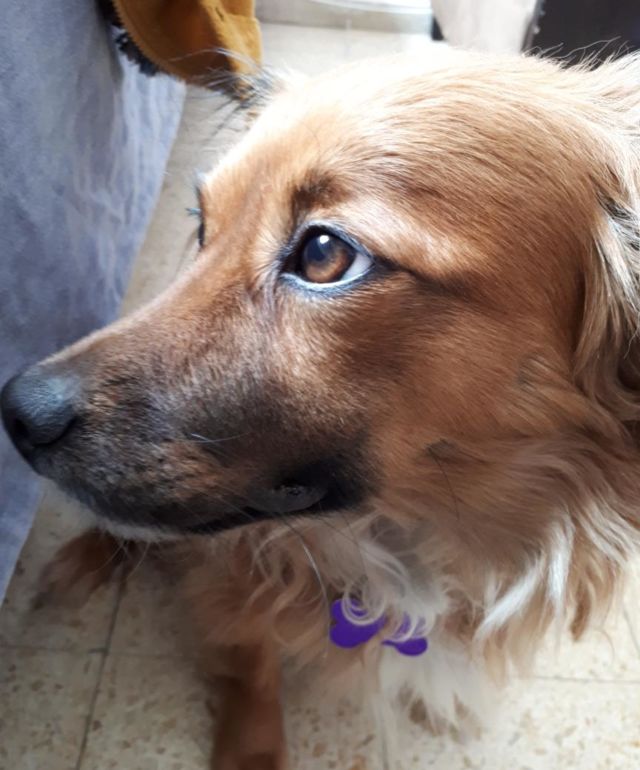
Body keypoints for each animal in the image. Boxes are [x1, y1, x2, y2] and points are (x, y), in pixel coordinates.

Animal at [3, 48, 640, 769]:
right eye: (203, 225)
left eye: (325, 254)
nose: (18, 412)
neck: (413, 537)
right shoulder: (229, 588)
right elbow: (253, 670)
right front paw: (252, 751)